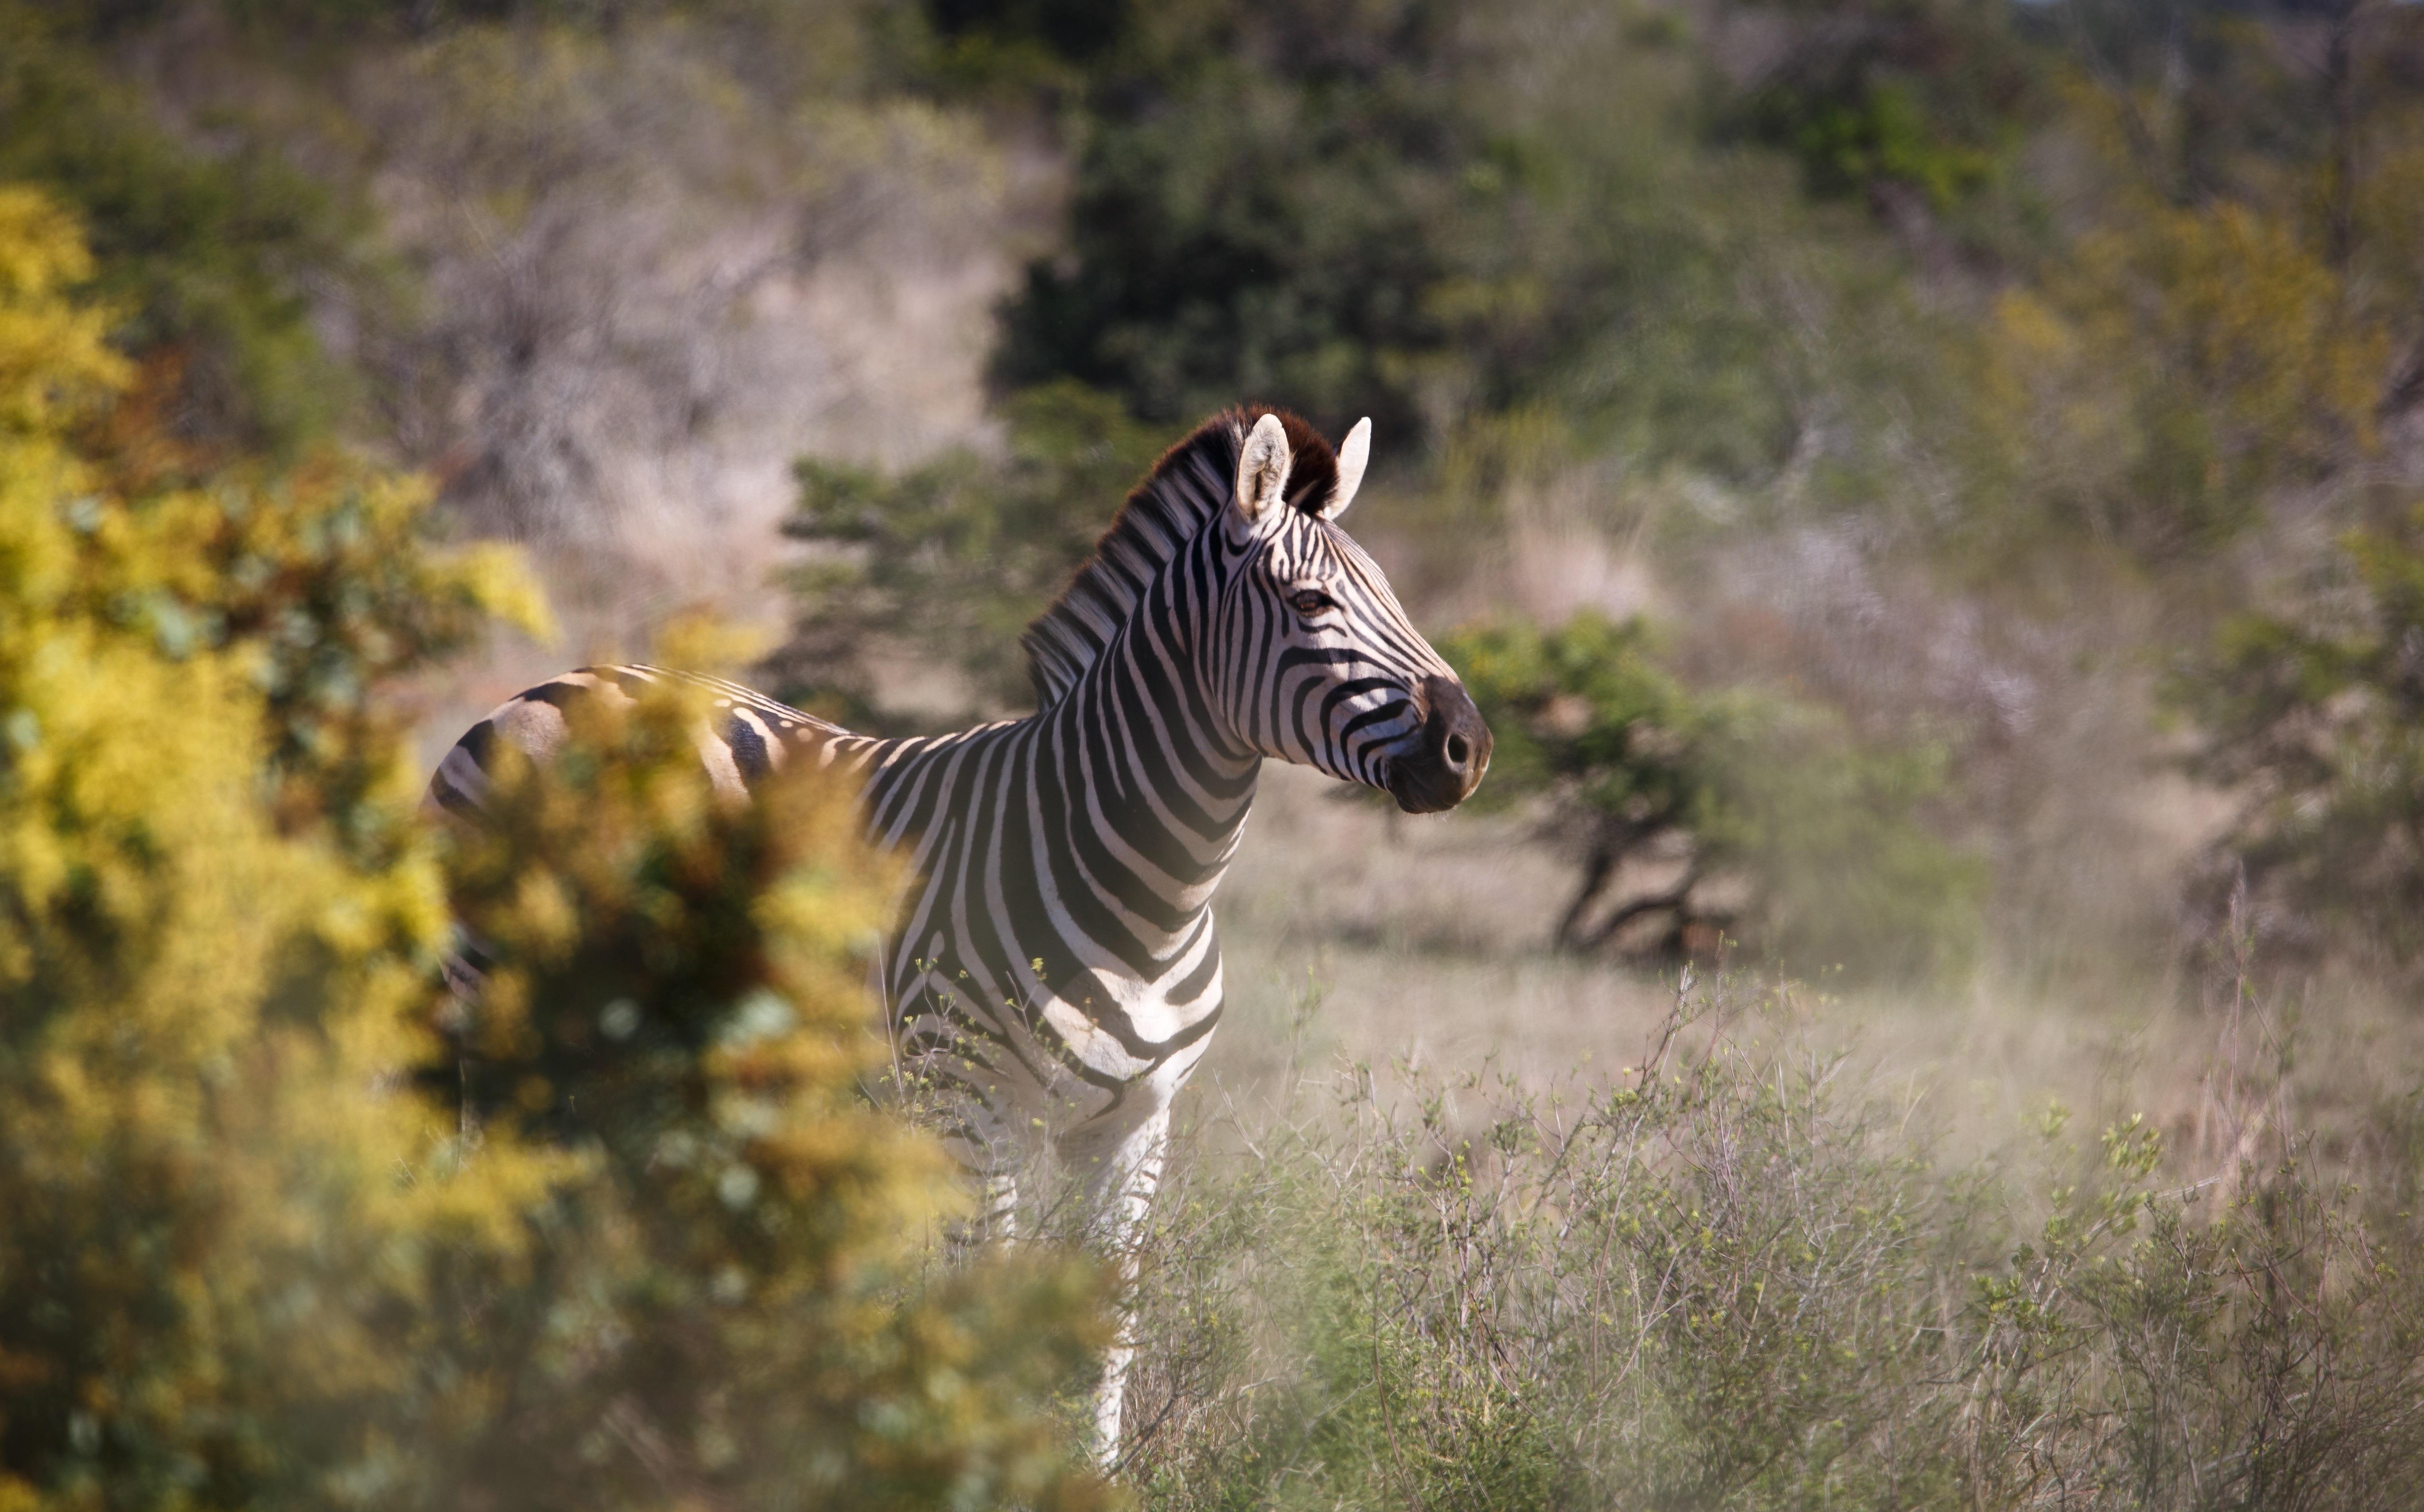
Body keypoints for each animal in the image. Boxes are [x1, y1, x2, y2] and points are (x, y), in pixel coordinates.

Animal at [424, 407, 1483, 1473]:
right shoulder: (970, 1107)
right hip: (500, 1013)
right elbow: (982, 1296)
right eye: (1310, 601)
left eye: (1394, 593)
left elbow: (1106, 1320)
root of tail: (541, 686)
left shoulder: (1136, 1123)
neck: (1147, 896)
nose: (1469, 747)